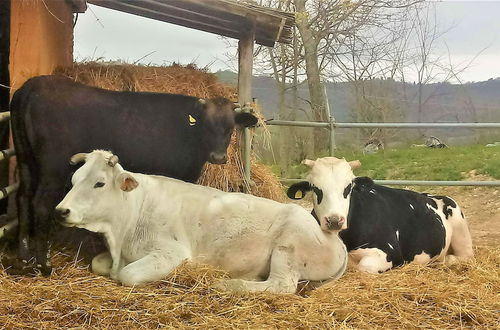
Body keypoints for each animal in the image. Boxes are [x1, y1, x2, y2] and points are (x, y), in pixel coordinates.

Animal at [8, 76, 258, 274]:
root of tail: (32, 85)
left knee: (22, 198)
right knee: (40, 204)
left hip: (25, 161)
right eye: (206, 126)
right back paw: (44, 263)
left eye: (230, 128)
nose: (218, 157)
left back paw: (24, 257)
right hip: (52, 167)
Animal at [52, 151, 346, 292]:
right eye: (74, 179)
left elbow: (127, 275)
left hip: (287, 249)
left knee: (281, 286)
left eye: (99, 183)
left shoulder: (171, 252)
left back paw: (227, 285)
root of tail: (335, 238)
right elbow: (98, 264)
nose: (61, 211)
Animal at [288, 157, 474, 274]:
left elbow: (364, 267)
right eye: (315, 188)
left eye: (348, 187)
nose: (334, 220)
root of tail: (431, 195)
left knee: (463, 257)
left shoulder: (390, 252)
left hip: (461, 233)